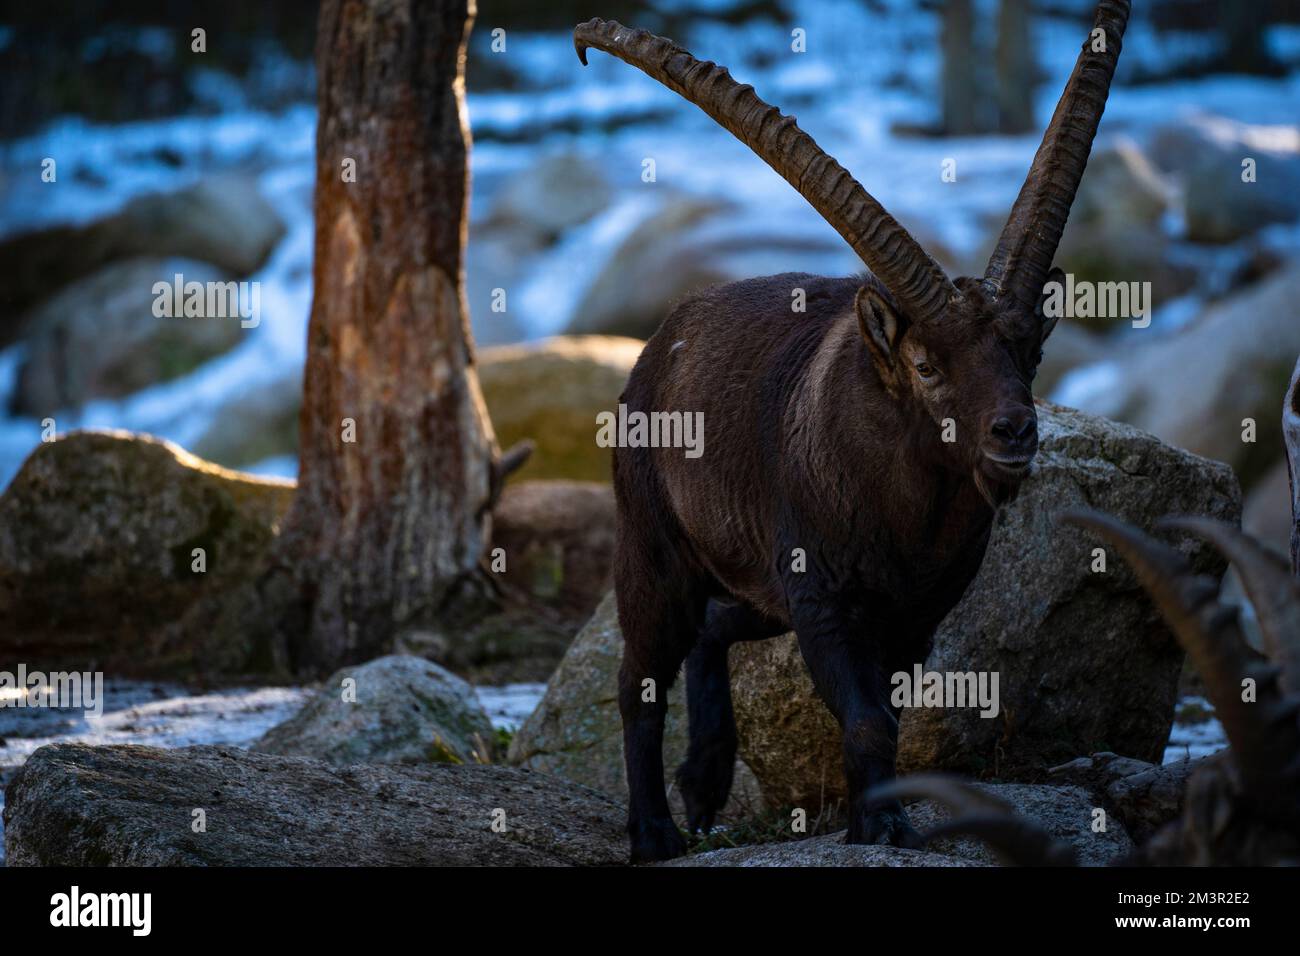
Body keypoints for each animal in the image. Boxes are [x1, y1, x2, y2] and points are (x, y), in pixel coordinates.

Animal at [575, 1, 1132, 861]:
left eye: (1029, 352)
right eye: (927, 365)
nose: (1013, 434)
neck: (906, 516)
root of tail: (654, 350)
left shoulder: (914, 617)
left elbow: (888, 714)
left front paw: (878, 816)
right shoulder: (826, 599)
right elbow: (866, 716)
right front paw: (885, 827)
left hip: (759, 580)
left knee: (714, 627)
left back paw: (704, 782)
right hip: (656, 547)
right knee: (640, 677)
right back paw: (656, 833)